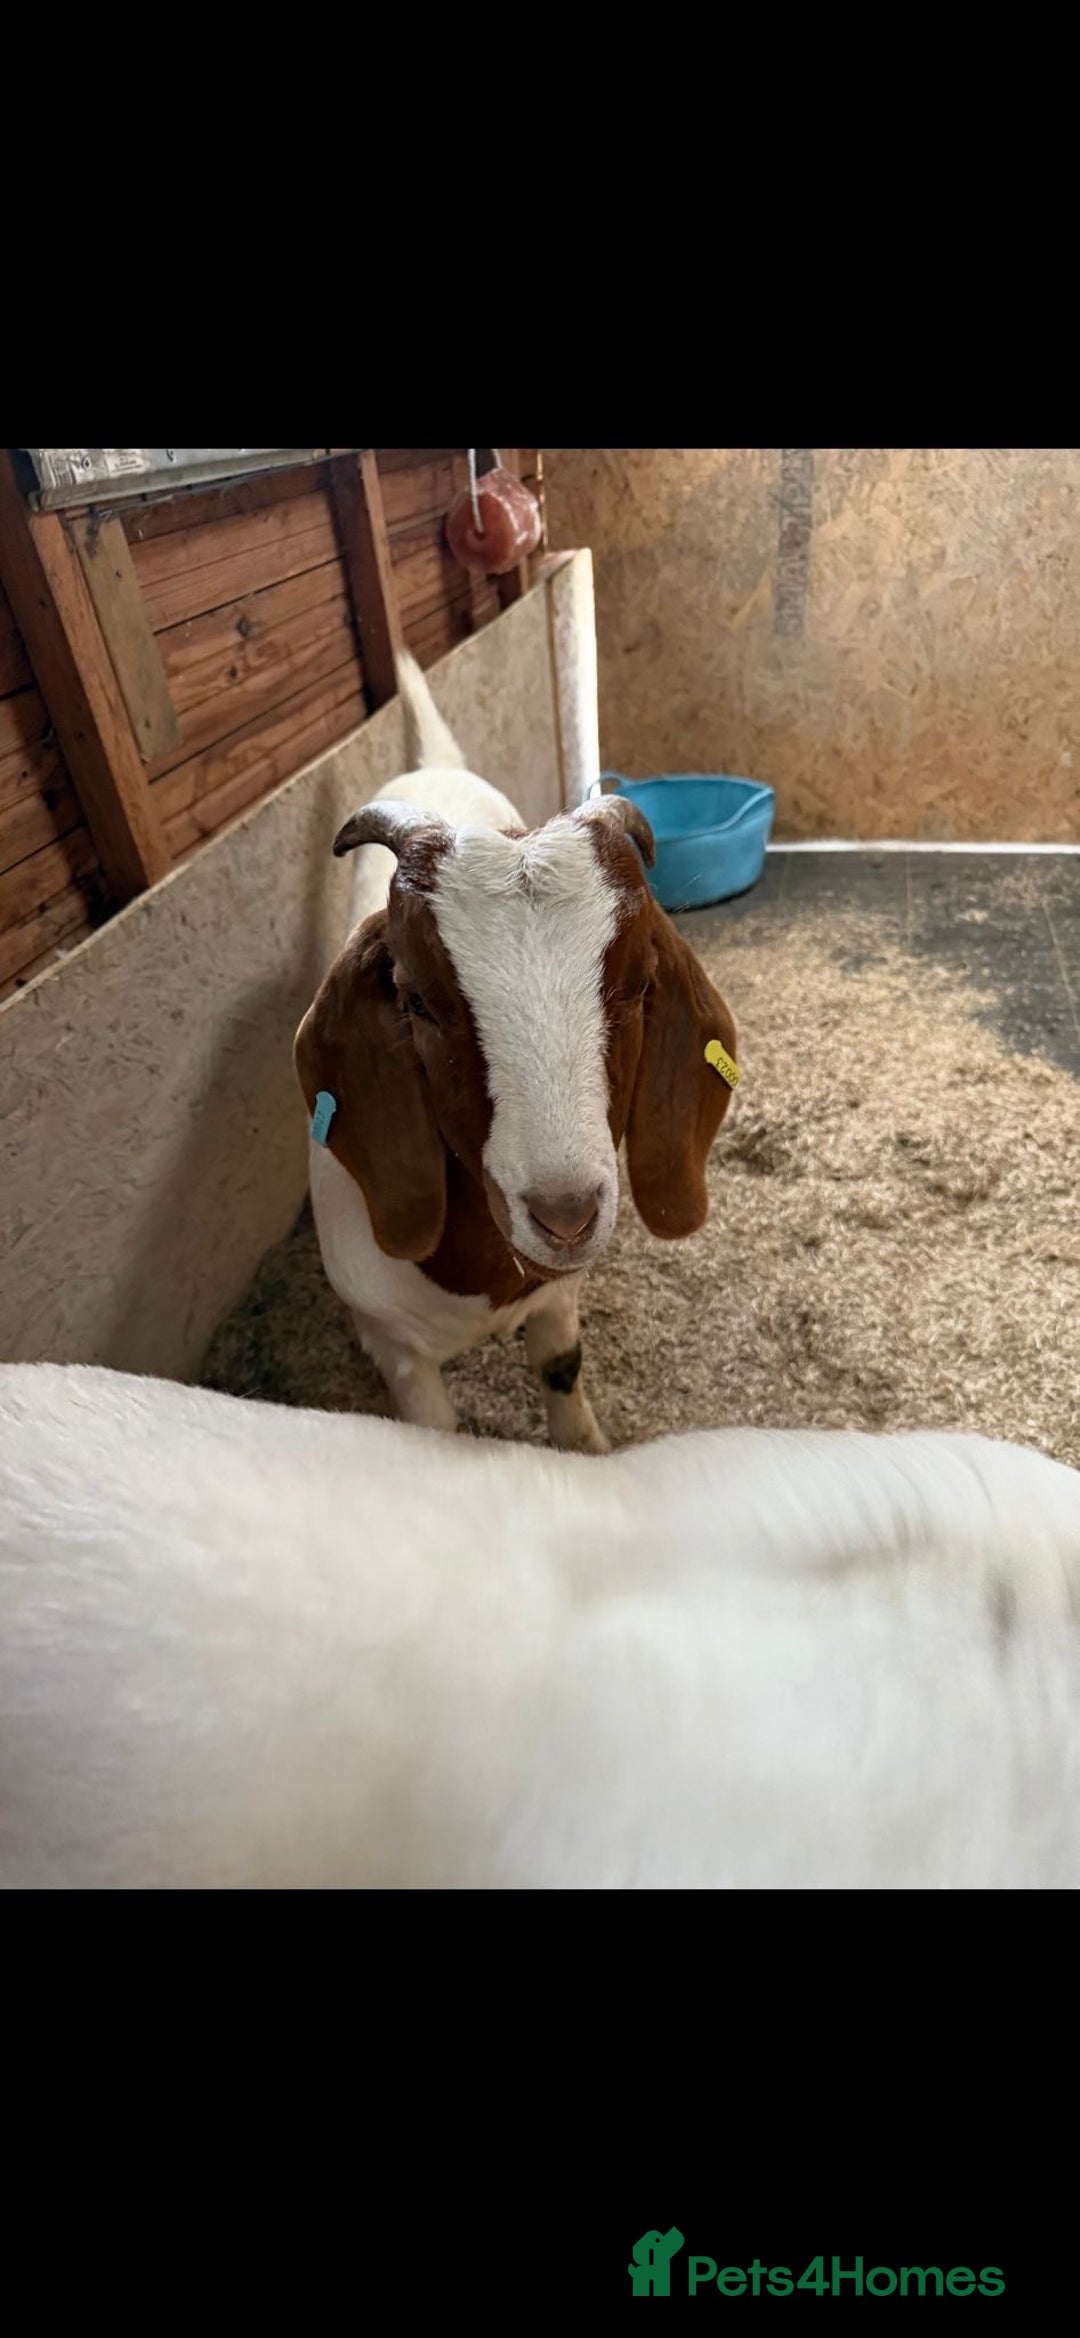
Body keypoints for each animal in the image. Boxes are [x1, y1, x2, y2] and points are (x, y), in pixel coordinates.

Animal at [294, 653, 739, 1451]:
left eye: (639, 983)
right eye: (414, 998)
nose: (566, 1217)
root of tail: (434, 765)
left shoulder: (559, 1296)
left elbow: (561, 1366)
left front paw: (587, 1449)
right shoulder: (395, 1348)